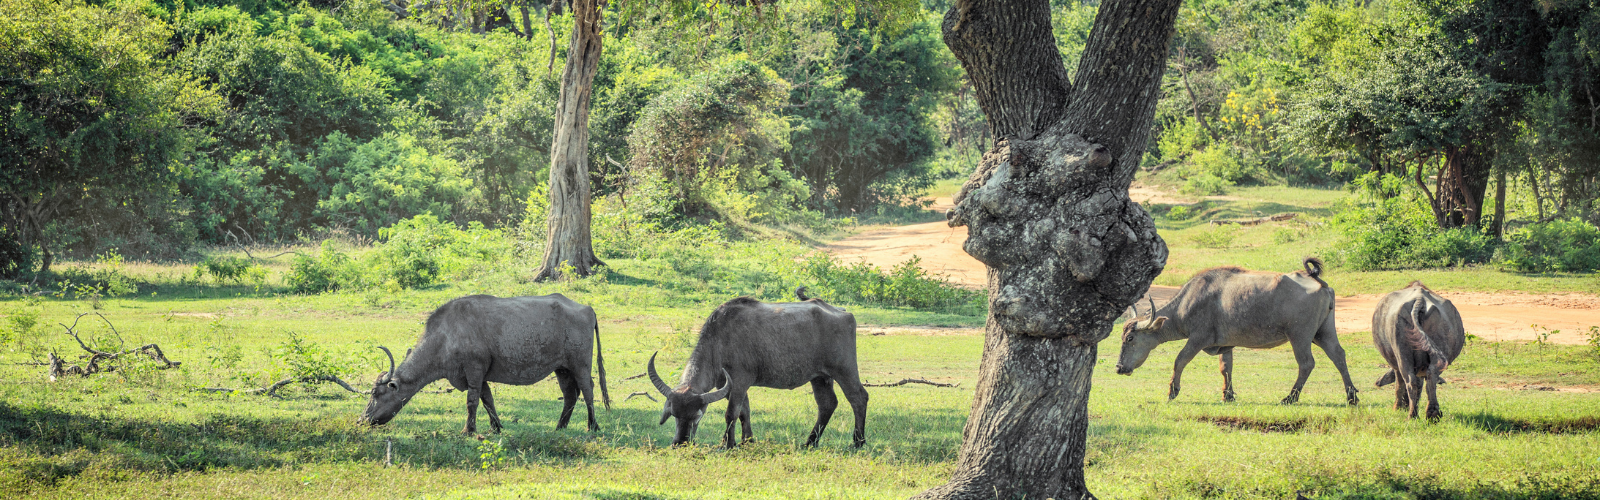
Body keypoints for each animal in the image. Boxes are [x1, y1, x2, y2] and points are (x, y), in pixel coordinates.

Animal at [360, 293, 608, 432]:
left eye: (376, 394)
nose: (363, 419)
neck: (446, 336)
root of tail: (587, 308)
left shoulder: (474, 370)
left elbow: (472, 402)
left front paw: (468, 430)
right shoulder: (480, 376)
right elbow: (487, 400)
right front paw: (496, 427)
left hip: (580, 364)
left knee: (588, 390)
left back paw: (593, 426)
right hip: (562, 369)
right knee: (570, 395)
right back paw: (559, 427)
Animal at [643, 288, 870, 448]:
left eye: (697, 416)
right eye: (674, 414)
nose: (680, 443)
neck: (720, 341)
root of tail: (842, 312)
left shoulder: (739, 383)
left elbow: (731, 413)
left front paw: (728, 444)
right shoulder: (731, 386)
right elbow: (745, 411)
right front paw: (747, 440)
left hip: (844, 370)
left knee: (858, 397)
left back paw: (858, 441)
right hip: (820, 377)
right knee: (827, 404)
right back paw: (810, 442)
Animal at [1113, 258, 1363, 407]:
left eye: (1130, 338)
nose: (1119, 368)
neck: (1189, 302)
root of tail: (1317, 280)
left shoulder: (1198, 339)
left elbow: (1179, 360)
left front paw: (1172, 391)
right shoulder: (1226, 344)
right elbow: (1226, 368)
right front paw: (1228, 395)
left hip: (1299, 336)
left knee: (1307, 363)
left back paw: (1290, 398)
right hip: (1323, 332)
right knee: (1339, 356)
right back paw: (1351, 396)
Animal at [1369, 283, 1465, 419]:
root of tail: (1420, 300)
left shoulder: (1396, 365)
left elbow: (1400, 385)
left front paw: (1398, 407)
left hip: (1402, 354)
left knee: (1410, 381)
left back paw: (1412, 414)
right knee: (1431, 377)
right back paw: (1432, 413)